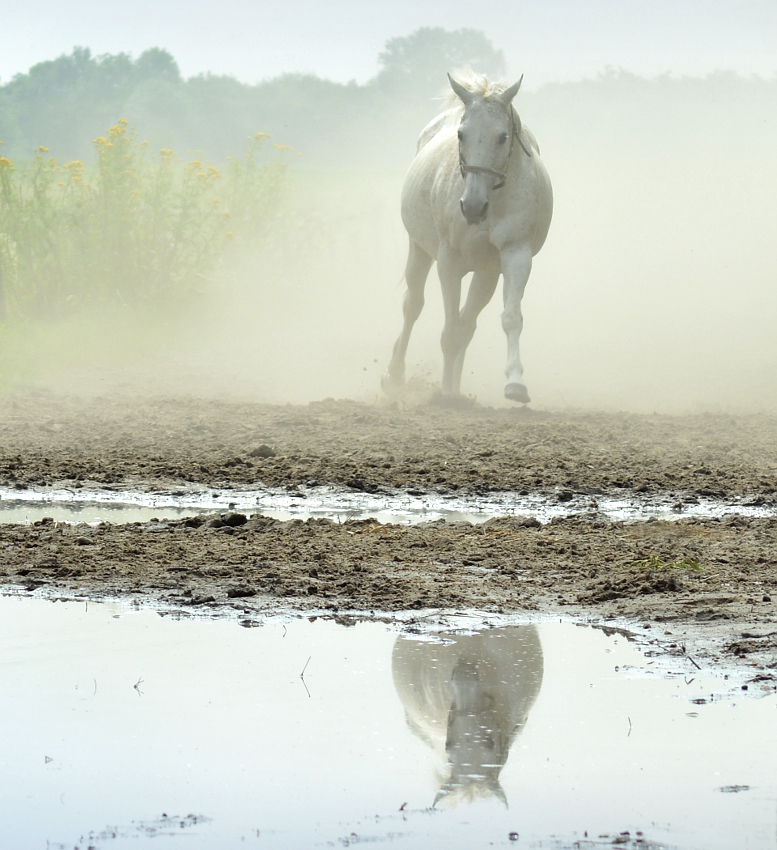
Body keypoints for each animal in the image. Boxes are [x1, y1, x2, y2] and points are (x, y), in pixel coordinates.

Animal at [382, 68, 552, 400]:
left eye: (502, 137)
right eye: (461, 135)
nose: (472, 207)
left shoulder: (515, 254)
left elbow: (508, 318)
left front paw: (515, 383)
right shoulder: (449, 262)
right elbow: (448, 332)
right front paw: (445, 396)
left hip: (486, 274)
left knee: (466, 323)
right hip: (418, 249)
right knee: (413, 306)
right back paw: (395, 375)